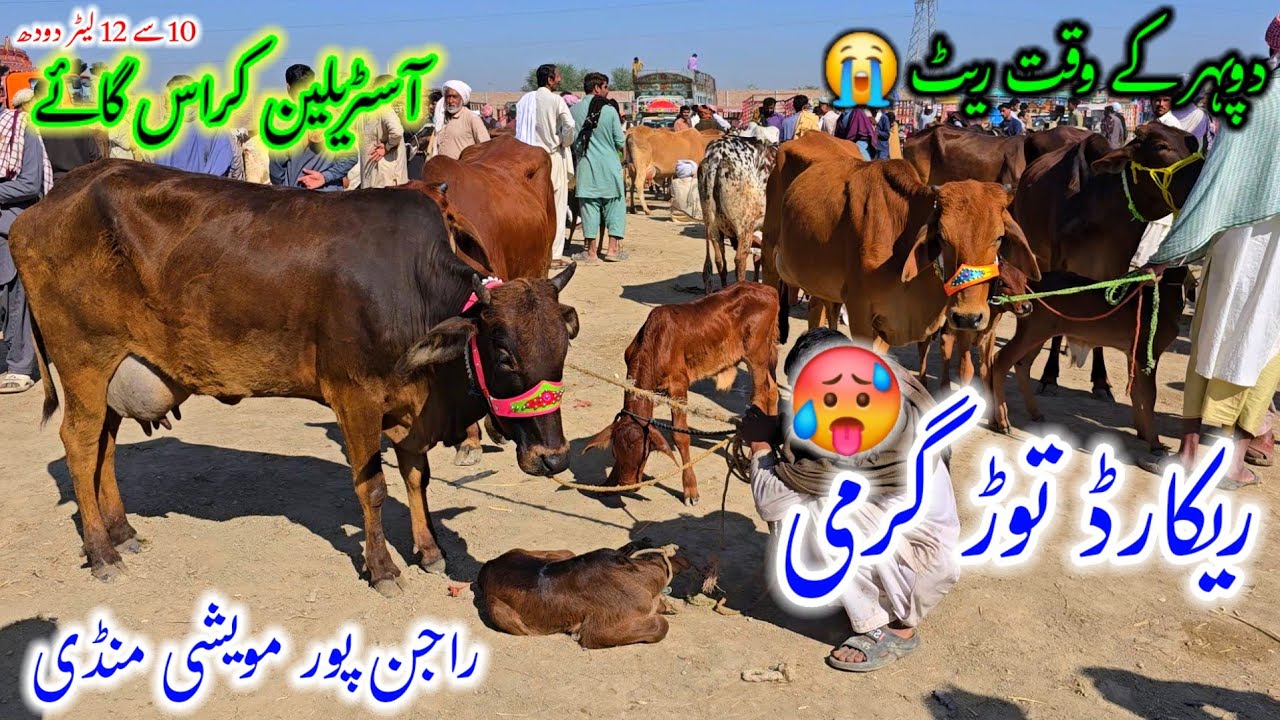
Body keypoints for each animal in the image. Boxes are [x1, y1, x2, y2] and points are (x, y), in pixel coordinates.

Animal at [585, 282, 779, 506]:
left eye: (644, 452)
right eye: (615, 452)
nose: (627, 484)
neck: (654, 343)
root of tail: (768, 289)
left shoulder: (679, 386)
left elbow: (680, 436)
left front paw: (690, 489)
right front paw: (608, 483)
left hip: (757, 355)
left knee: (760, 395)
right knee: (772, 390)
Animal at [990, 268, 1191, 450]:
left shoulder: (1132, 356)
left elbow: (1135, 392)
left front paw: (1143, 433)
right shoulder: (1147, 354)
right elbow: (1149, 397)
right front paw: (1155, 443)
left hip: (1037, 335)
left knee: (1022, 364)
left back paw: (1035, 413)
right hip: (1033, 332)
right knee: (1000, 360)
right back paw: (1003, 422)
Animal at [1014, 122, 1203, 397]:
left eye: (1193, 144)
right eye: (1161, 146)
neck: (1099, 207)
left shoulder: (1114, 266)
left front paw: (1101, 380)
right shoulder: (1059, 262)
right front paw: (1049, 375)